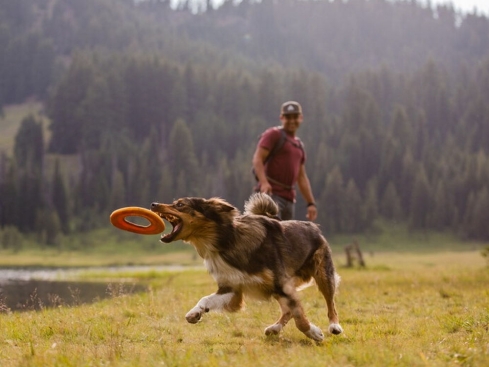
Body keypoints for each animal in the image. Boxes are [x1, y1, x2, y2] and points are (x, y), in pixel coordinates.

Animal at [150, 193, 344, 342]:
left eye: (180, 204)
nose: (153, 204)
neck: (226, 240)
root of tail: (314, 226)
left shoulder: (281, 283)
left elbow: (300, 317)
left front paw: (314, 333)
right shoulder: (232, 288)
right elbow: (206, 299)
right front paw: (195, 313)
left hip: (322, 275)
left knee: (330, 303)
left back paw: (334, 326)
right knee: (288, 310)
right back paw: (275, 328)